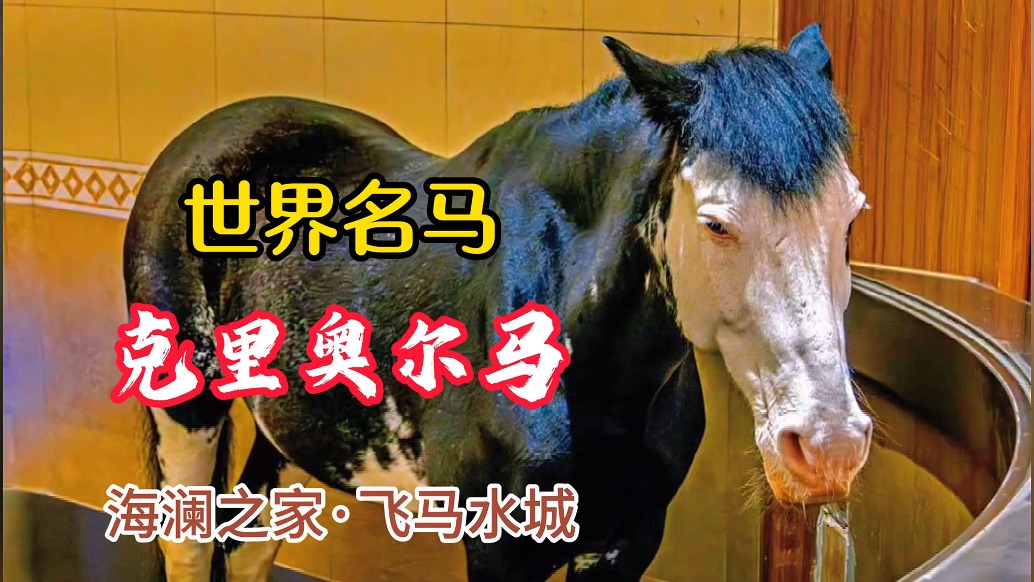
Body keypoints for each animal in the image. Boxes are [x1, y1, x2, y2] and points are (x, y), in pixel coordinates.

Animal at [123, 23, 874, 582]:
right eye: (717, 224)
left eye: (852, 216)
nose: (829, 447)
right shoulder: (501, 551)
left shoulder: (626, 543)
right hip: (186, 409)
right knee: (189, 543)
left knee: (248, 541)